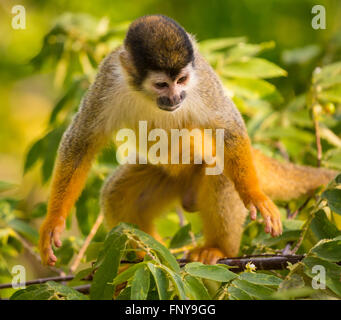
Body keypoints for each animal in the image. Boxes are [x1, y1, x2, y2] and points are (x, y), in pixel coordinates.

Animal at [39, 15, 334, 264]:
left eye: (181, 80)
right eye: (161, 84)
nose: (175, 97)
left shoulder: (202, 78)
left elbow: (229, 129)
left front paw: (254, 196)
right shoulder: (108, 77)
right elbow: (81, 142)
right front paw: (54, 221)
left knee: (220, 173)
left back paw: (219, 248)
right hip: (170, 179)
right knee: (115, 194)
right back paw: (148, 254)